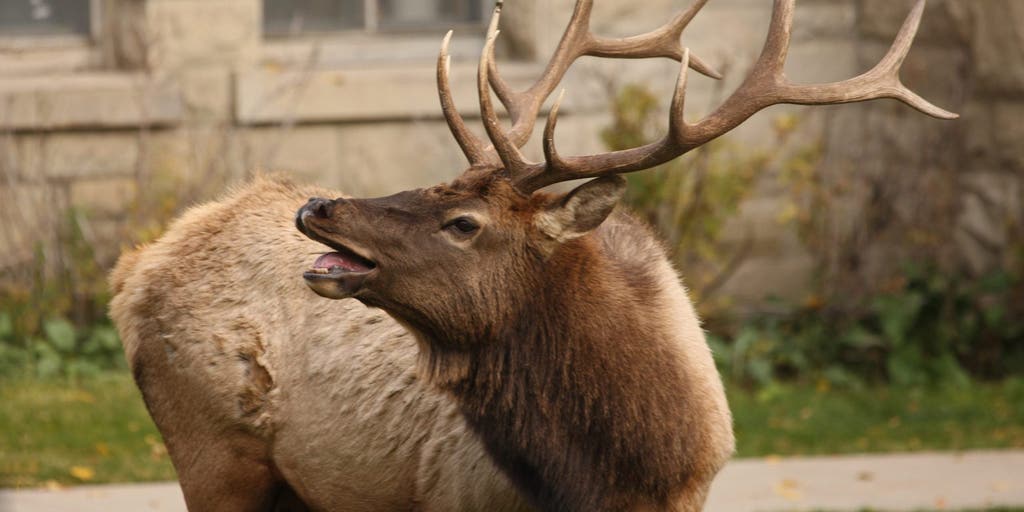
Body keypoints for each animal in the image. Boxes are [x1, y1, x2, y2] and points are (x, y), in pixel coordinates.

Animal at [109, 0, 956, 511]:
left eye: (462, 220)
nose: (317, 207)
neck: (619, 477)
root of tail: (134, 273)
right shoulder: (452, 496)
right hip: (212, 452)